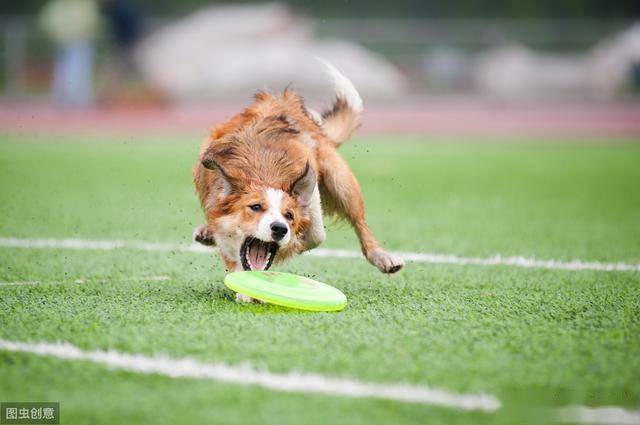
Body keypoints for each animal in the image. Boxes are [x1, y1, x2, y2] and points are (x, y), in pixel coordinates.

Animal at [192, 58, 404, 302]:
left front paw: (294, 245)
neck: (264, 171)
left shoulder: (311, 191)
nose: (280, 229)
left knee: (359, 221)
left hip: (340, 178)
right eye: (255, 207)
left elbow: (315, 234)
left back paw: (382, 256)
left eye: (289, 215)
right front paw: (244, 288)